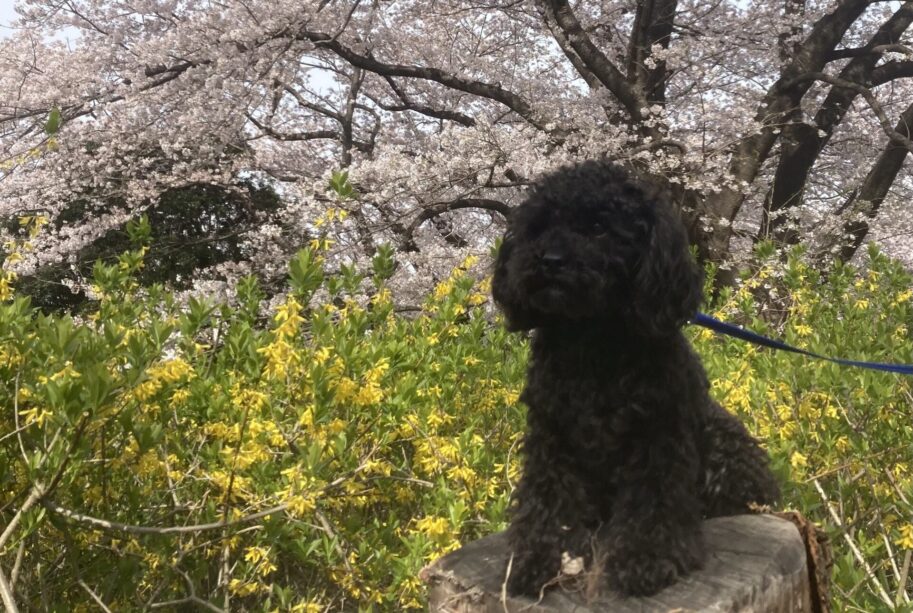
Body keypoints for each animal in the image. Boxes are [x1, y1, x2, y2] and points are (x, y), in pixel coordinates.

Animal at [492, 160, 776, 596]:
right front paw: (537, 559)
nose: (550, 260)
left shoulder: (658, 437)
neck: (592, 342)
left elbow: (653, 502)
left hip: (723, 441)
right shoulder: (552, 437)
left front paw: (646, 559)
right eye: (538, 227)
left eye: (598, 228)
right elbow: (547, 499)